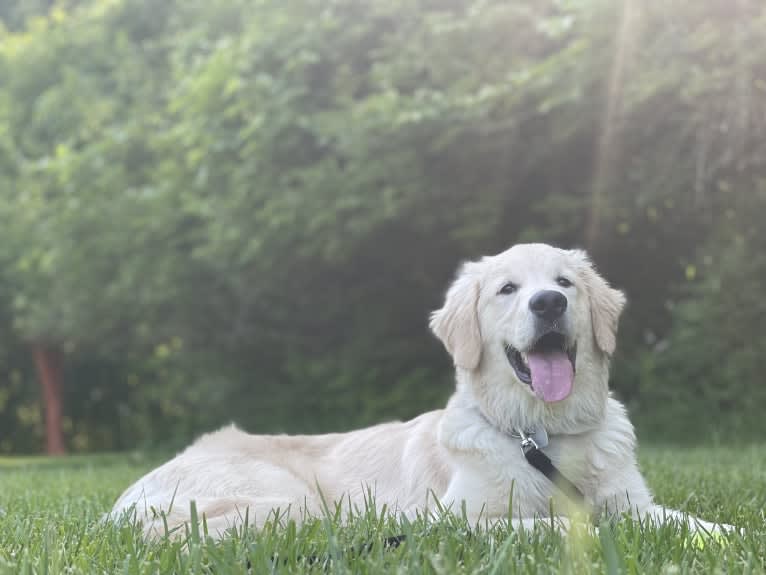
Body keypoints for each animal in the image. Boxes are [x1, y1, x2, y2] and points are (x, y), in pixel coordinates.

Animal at [109, 244, 732, 540]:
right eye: (508, 289)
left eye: (565, 283)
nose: (548, 303)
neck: (543, 433)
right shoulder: (457, 517)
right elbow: (554, 523)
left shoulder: (635, 504)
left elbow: (686, 523)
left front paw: (726, 536)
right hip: (285, 499)